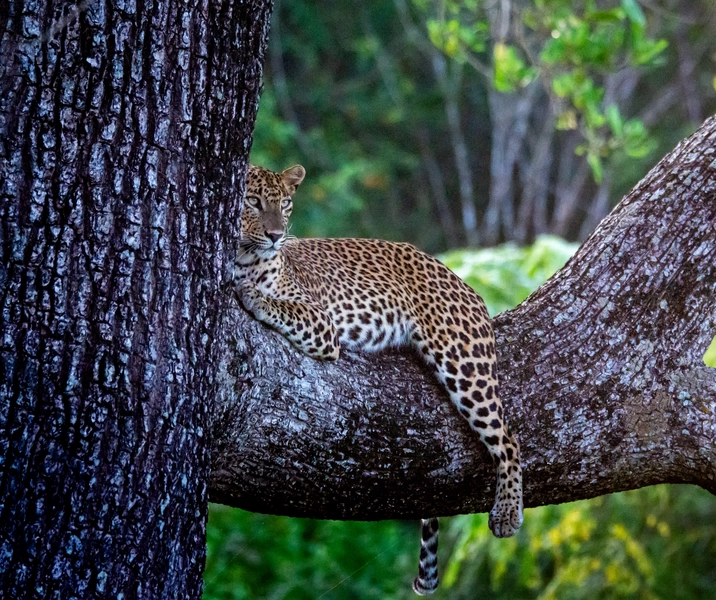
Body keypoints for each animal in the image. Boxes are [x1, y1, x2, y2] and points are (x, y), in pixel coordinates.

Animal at [233, 164, 524, 595]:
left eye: (285, 204)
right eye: (252, 202)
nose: (275, 235)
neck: (244, 257)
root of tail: (462, 282)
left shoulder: (323, 325)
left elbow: (282, 305)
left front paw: (252, 295)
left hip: (464, 362)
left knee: (508, 437)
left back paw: (506, 512)